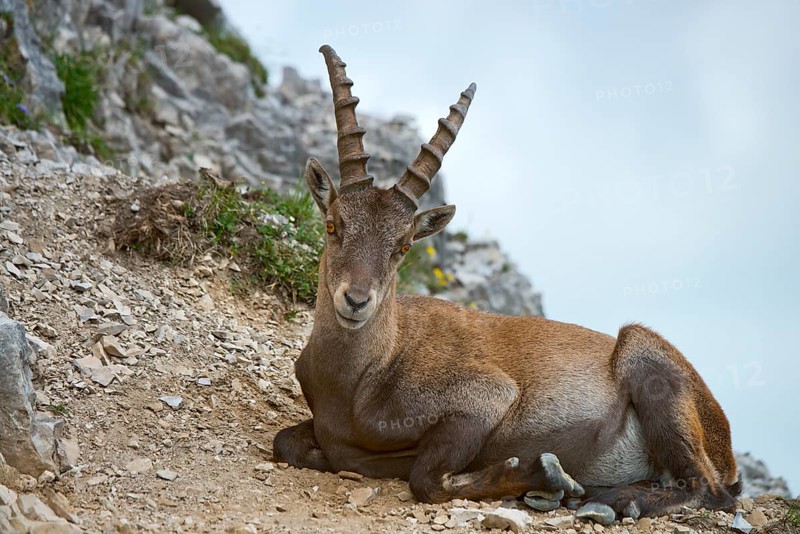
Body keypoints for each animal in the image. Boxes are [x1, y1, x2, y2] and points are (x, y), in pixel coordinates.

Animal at [273, 45, 740, 523]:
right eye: (333, 225)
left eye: (402, 246)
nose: (356, 300)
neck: (359, 380)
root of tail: (724, 443)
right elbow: (286, 442)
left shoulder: (486, 397)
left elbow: (427, 478)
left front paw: (545, 478)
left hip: (644, 355)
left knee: (707, 488)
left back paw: (611, 500)